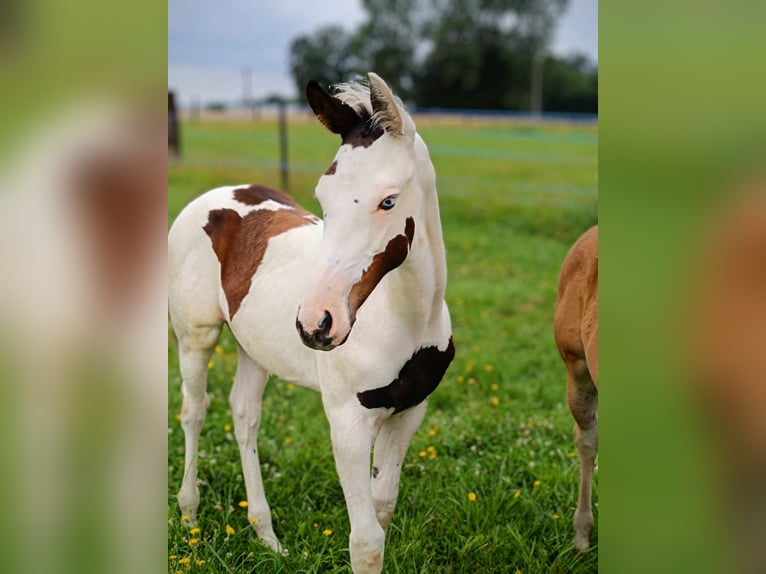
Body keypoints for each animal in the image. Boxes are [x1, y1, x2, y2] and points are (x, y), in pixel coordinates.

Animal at [169, 74, 456, 572]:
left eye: (388, 201)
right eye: (323, 198)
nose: (315, 323)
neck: (409, 320)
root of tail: (212, 198)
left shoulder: (409, 412)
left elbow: (383, 508)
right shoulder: (347, 423)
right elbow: (366, 541)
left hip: (253, 347)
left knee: (244, 415)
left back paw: (265, 534)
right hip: (195, 337)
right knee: (194, 410)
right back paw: (189, 517)